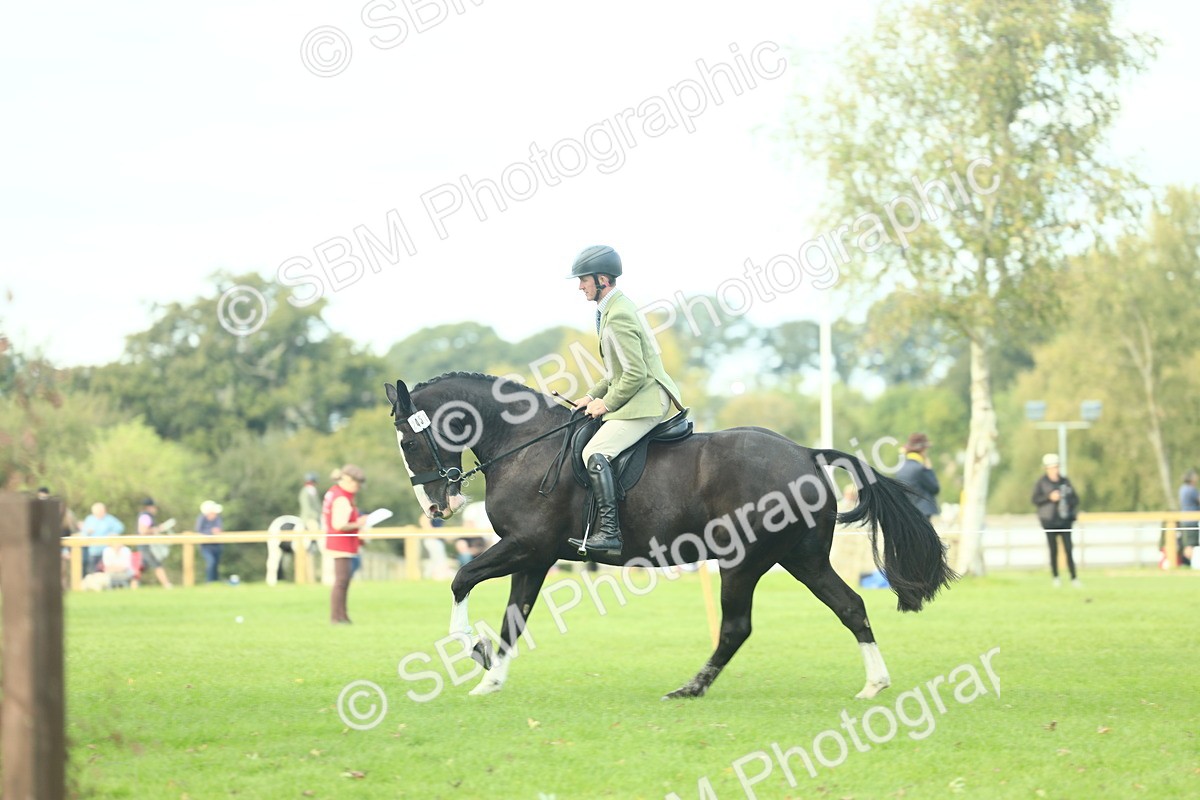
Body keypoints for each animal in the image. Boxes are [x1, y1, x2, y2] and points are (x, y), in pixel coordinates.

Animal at [384, 372, 955, 700]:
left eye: (409, 441)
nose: (437, 507)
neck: (526, 445)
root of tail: (806, 453)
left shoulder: (526, 547)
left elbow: (460, 580)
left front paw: (473, 650)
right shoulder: (535, 558)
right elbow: (513, 621)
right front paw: (491, 678)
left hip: (743, 561)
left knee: (737, 627)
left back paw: (691, 688)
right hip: (802, 559)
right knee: (850, 606)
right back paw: (874, 683)